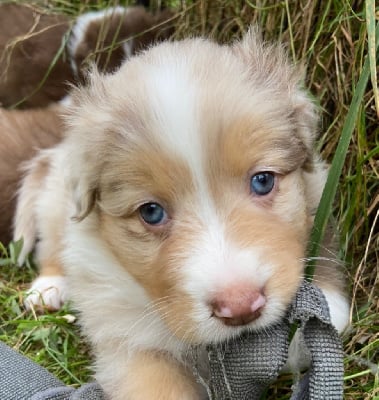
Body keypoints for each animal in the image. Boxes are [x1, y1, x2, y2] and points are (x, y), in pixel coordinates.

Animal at [12, 32, 350, 400]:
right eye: (151, 212)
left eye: (263, 180)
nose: (240, 307)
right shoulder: (128, 339)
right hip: (56, 205)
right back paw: (47, 289)